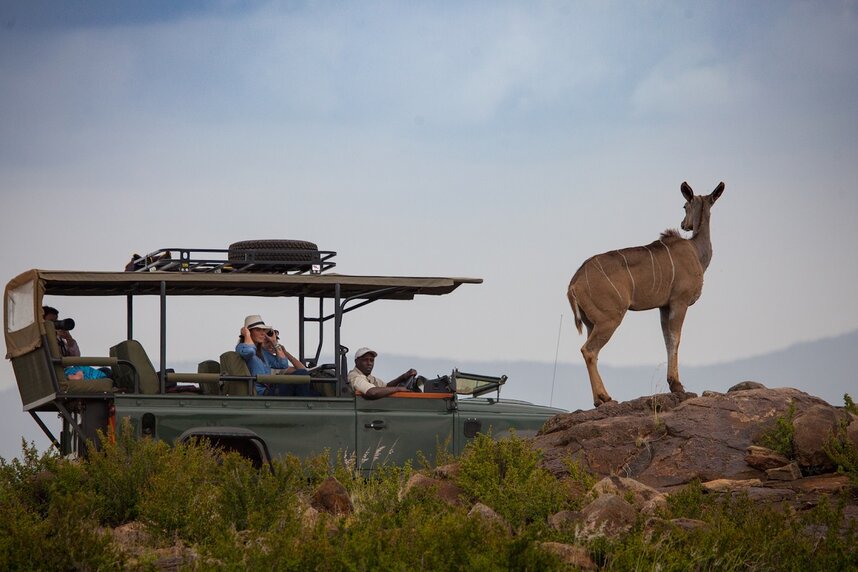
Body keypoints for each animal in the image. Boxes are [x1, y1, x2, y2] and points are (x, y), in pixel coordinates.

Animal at [567, 181, 724, 407]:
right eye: (684, 206)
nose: (684, 224)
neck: (696, 250)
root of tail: (573, 284)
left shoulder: (664, 306)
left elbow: (667, 339)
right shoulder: (680, 301)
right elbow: (675, 338)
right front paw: (677, 385)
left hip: (591, 323)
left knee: (591, 351)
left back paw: (599, 399)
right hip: (610, 318)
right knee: (589, 350)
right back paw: (605, 397)